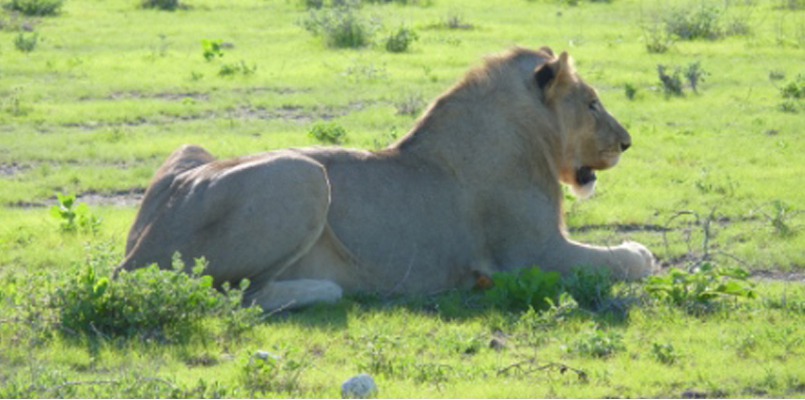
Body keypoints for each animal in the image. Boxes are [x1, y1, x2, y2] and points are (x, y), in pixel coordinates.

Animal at [121, 46, 660, 310]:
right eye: (592, 104)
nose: (627, 142)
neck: (532, 136)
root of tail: (134, 257)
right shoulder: (533, 255)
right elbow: (628, 260)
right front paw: (639, 251)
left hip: (192, 150)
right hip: (304, 174)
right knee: (240, 297)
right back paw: (332, 288)